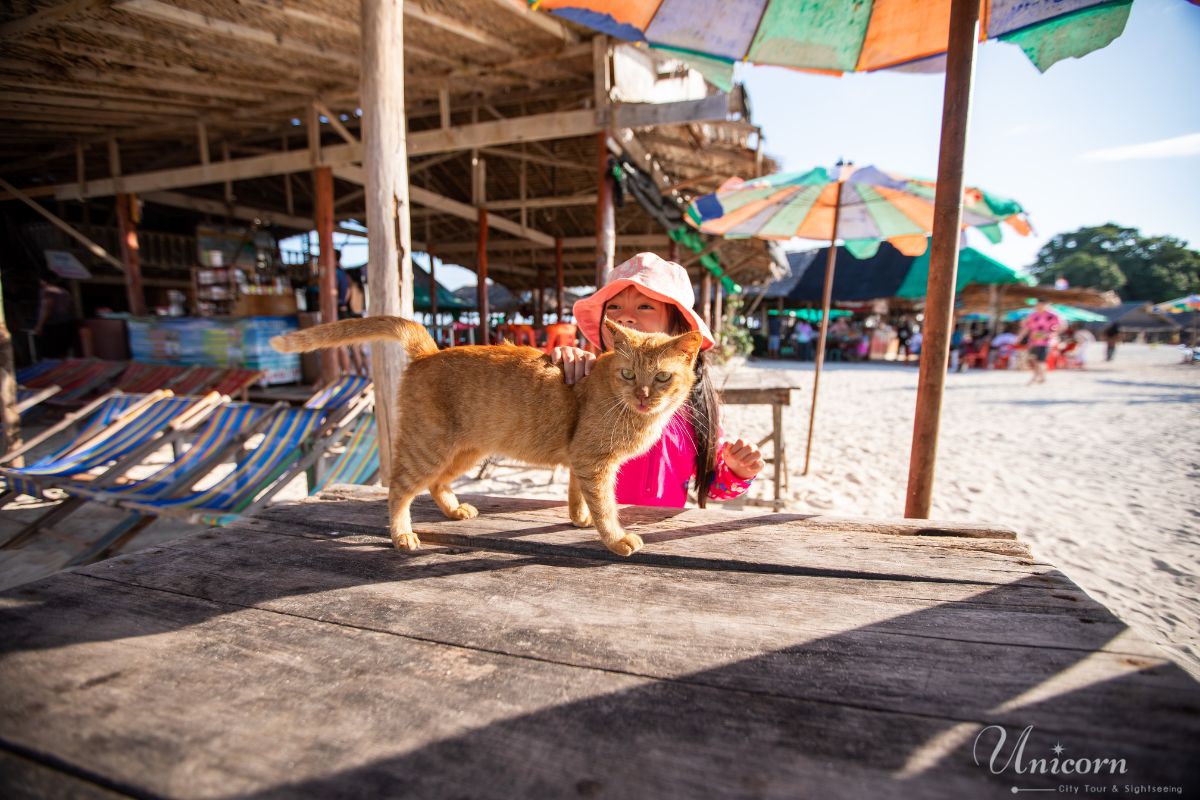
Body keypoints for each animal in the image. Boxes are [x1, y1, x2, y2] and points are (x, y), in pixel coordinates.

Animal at [270, 316, 700, 554]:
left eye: (662, 378)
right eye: (628, 374)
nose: (642, 395)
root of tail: (429, 351)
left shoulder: (581, 461)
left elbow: (578, 495)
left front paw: (579, 519)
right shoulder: (593, 462)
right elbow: (606, 508)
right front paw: (615, 538)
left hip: (462, 452)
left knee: (436, 484)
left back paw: (455, 510)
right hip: (428, 448)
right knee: (398, 490)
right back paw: (403, 535)